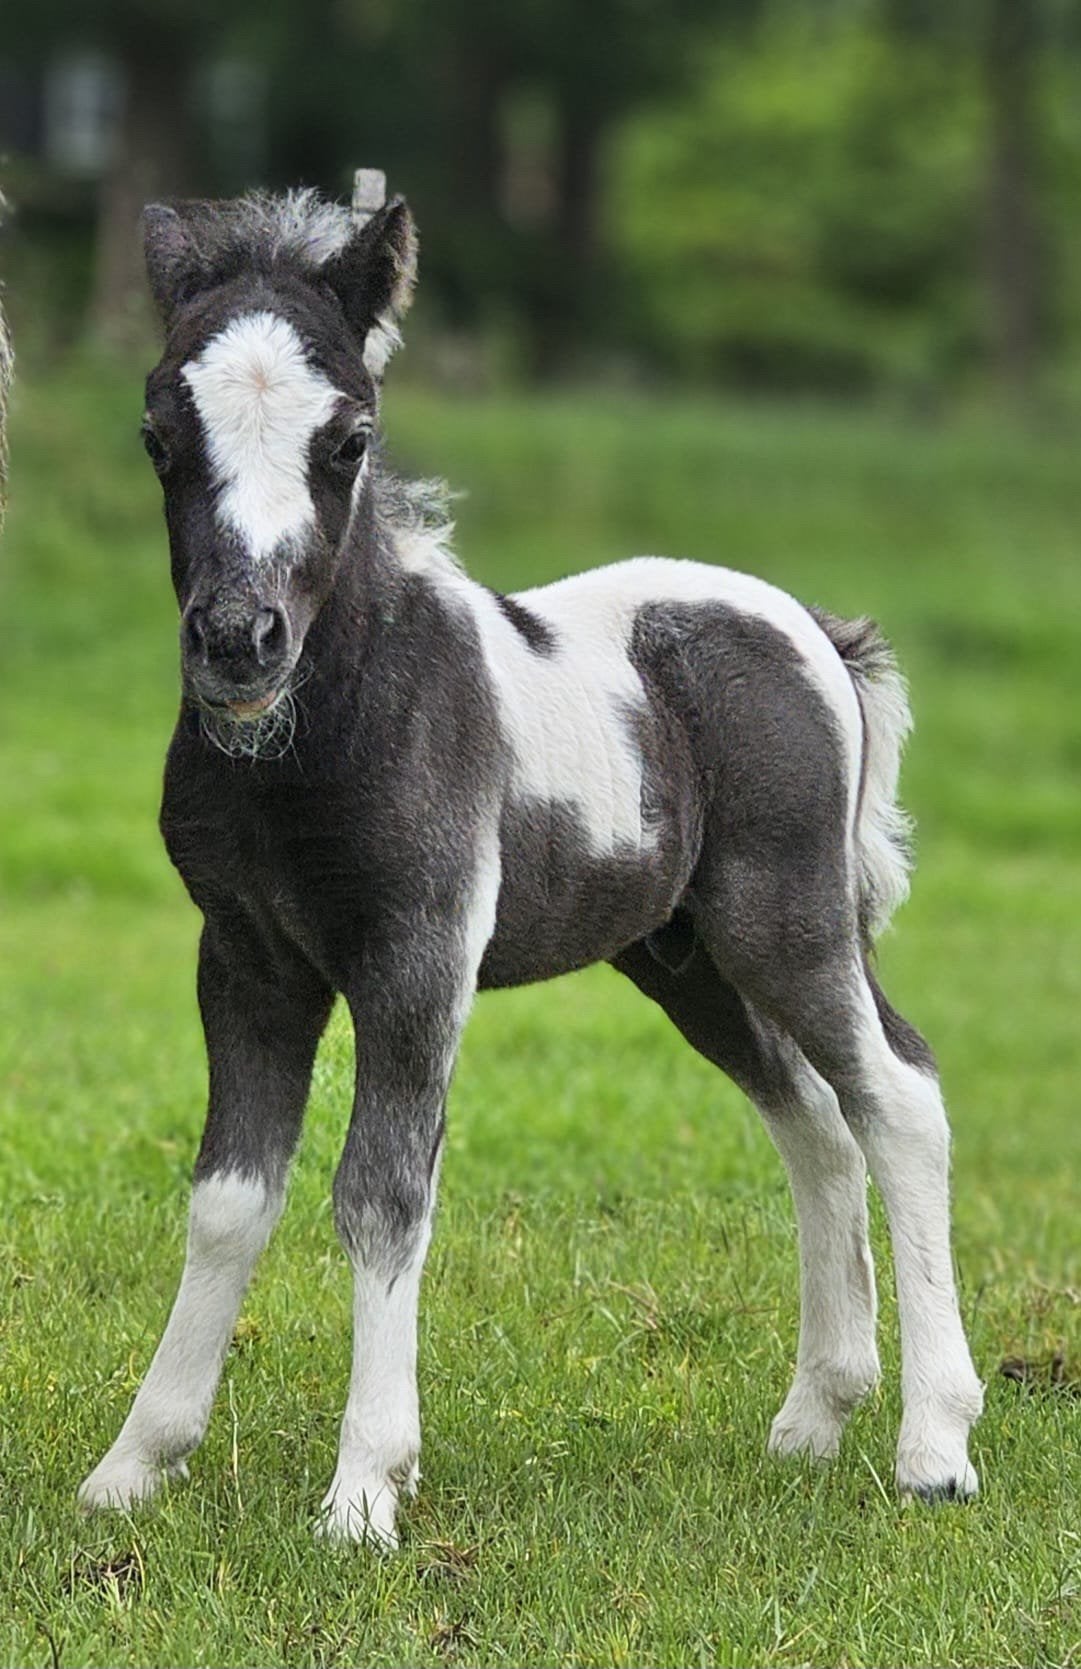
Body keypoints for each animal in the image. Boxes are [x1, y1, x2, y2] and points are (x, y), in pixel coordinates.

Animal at [78, 185, 982, 1546]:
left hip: (787, 915)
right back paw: (814, 1419)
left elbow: (381, 1190)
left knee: (896, 1093)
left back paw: (933, 1444)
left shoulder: (418, 953)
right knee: (811, 1118)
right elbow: (229, 1194)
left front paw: (364, 1492)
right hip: (684, 959)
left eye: (349, 437)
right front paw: (137, 1463)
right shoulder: (244, 958)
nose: (240, 640)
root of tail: (811, 630)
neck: (324, 735)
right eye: (155, 432)